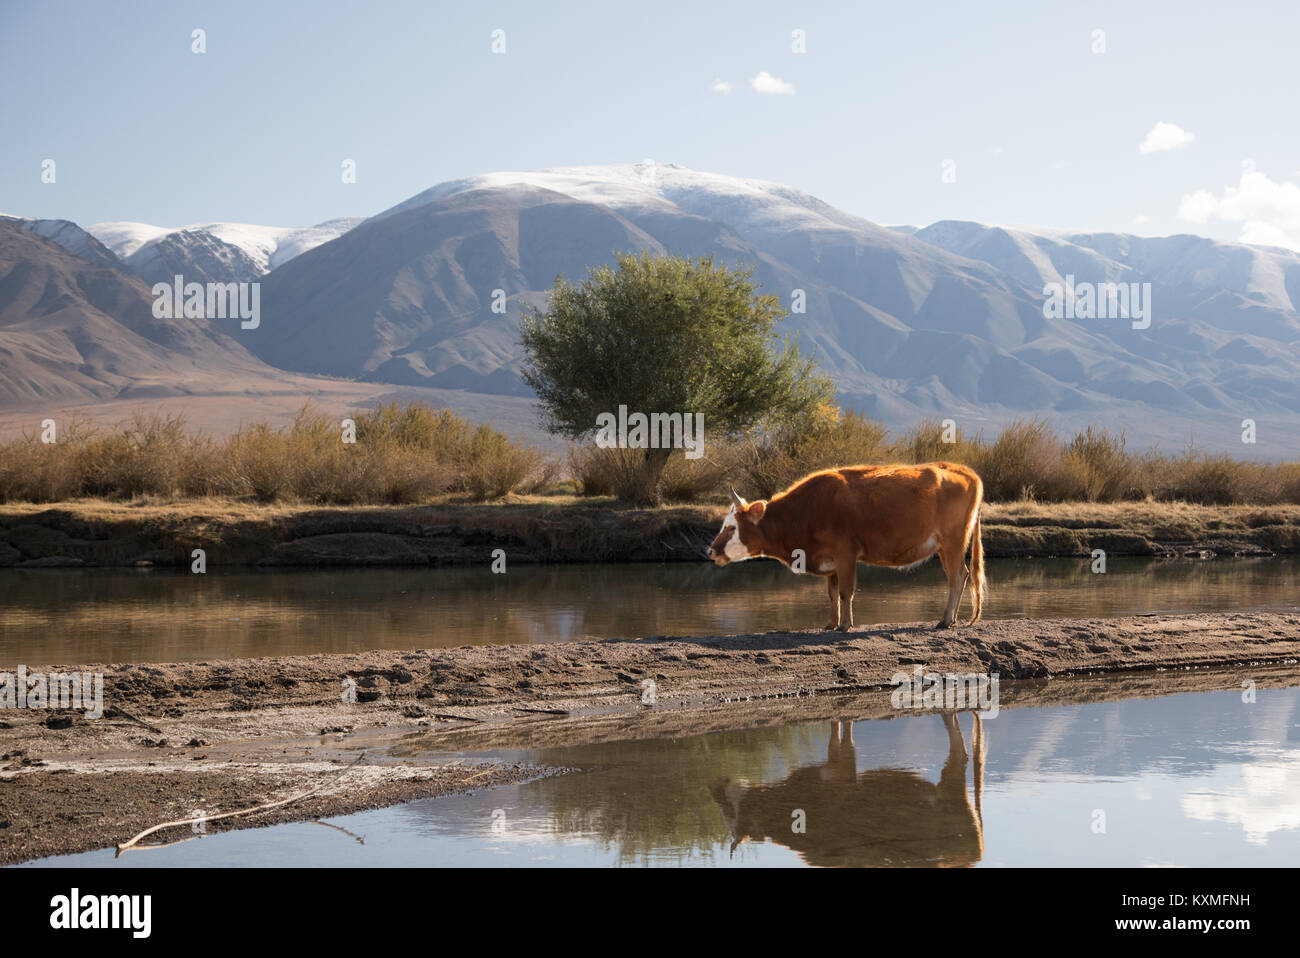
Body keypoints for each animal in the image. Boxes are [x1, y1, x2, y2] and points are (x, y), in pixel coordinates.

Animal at [712, 462, 982, 629]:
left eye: (731, 527)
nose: (710, 550)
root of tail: (962, 470)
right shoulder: (830, 562)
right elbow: (832, 594)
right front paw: (831, 624)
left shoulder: (846, 554)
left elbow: (845, 591)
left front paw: (845, 625)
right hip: (945, 546)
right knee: (961, 575)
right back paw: (951, 619)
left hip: (953, 541)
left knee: (957, 577)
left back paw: (945, 620)